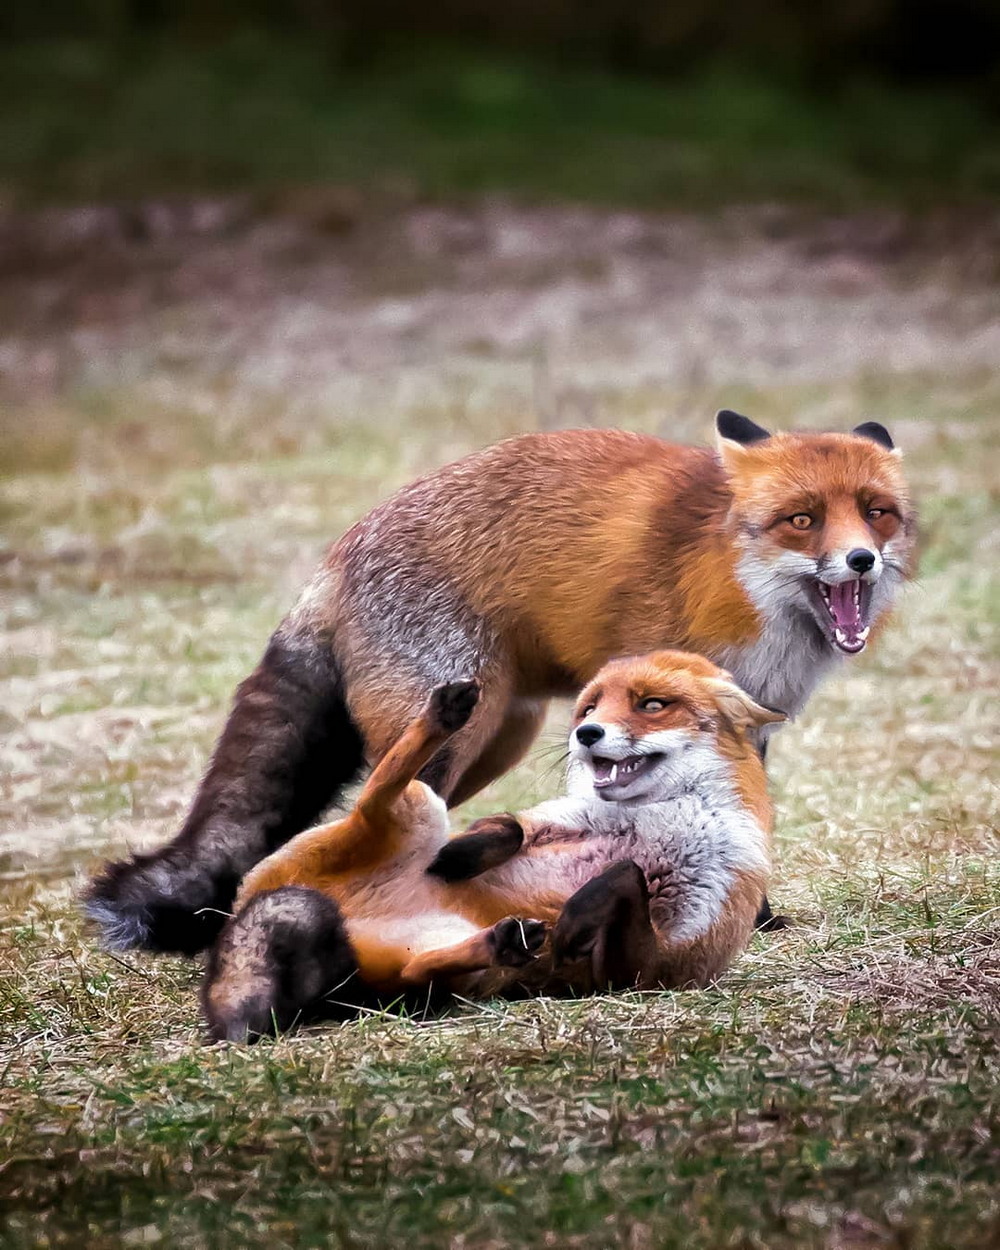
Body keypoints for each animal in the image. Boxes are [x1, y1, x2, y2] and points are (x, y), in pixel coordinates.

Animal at [86, 412, 915, 955]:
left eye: (876, 513)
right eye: (803, 519)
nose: (862, 561)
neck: (744, 589)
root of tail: (339, 551)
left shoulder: (744, 721)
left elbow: (744, 812)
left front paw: (757, 919)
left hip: (500, 740)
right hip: (457, 732)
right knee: (373, 809)